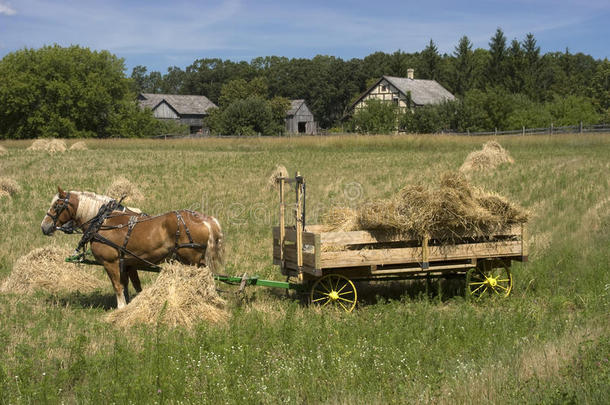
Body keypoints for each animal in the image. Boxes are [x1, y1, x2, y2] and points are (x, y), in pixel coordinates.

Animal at [42, 188, 223, 308]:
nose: (44, 226)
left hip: (192, 261)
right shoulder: (128, 263)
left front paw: (121, 308)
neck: (102, 222)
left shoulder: (111, 262)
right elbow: (133, 286)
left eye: (57, 206)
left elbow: (117, 286)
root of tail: (207, 220)